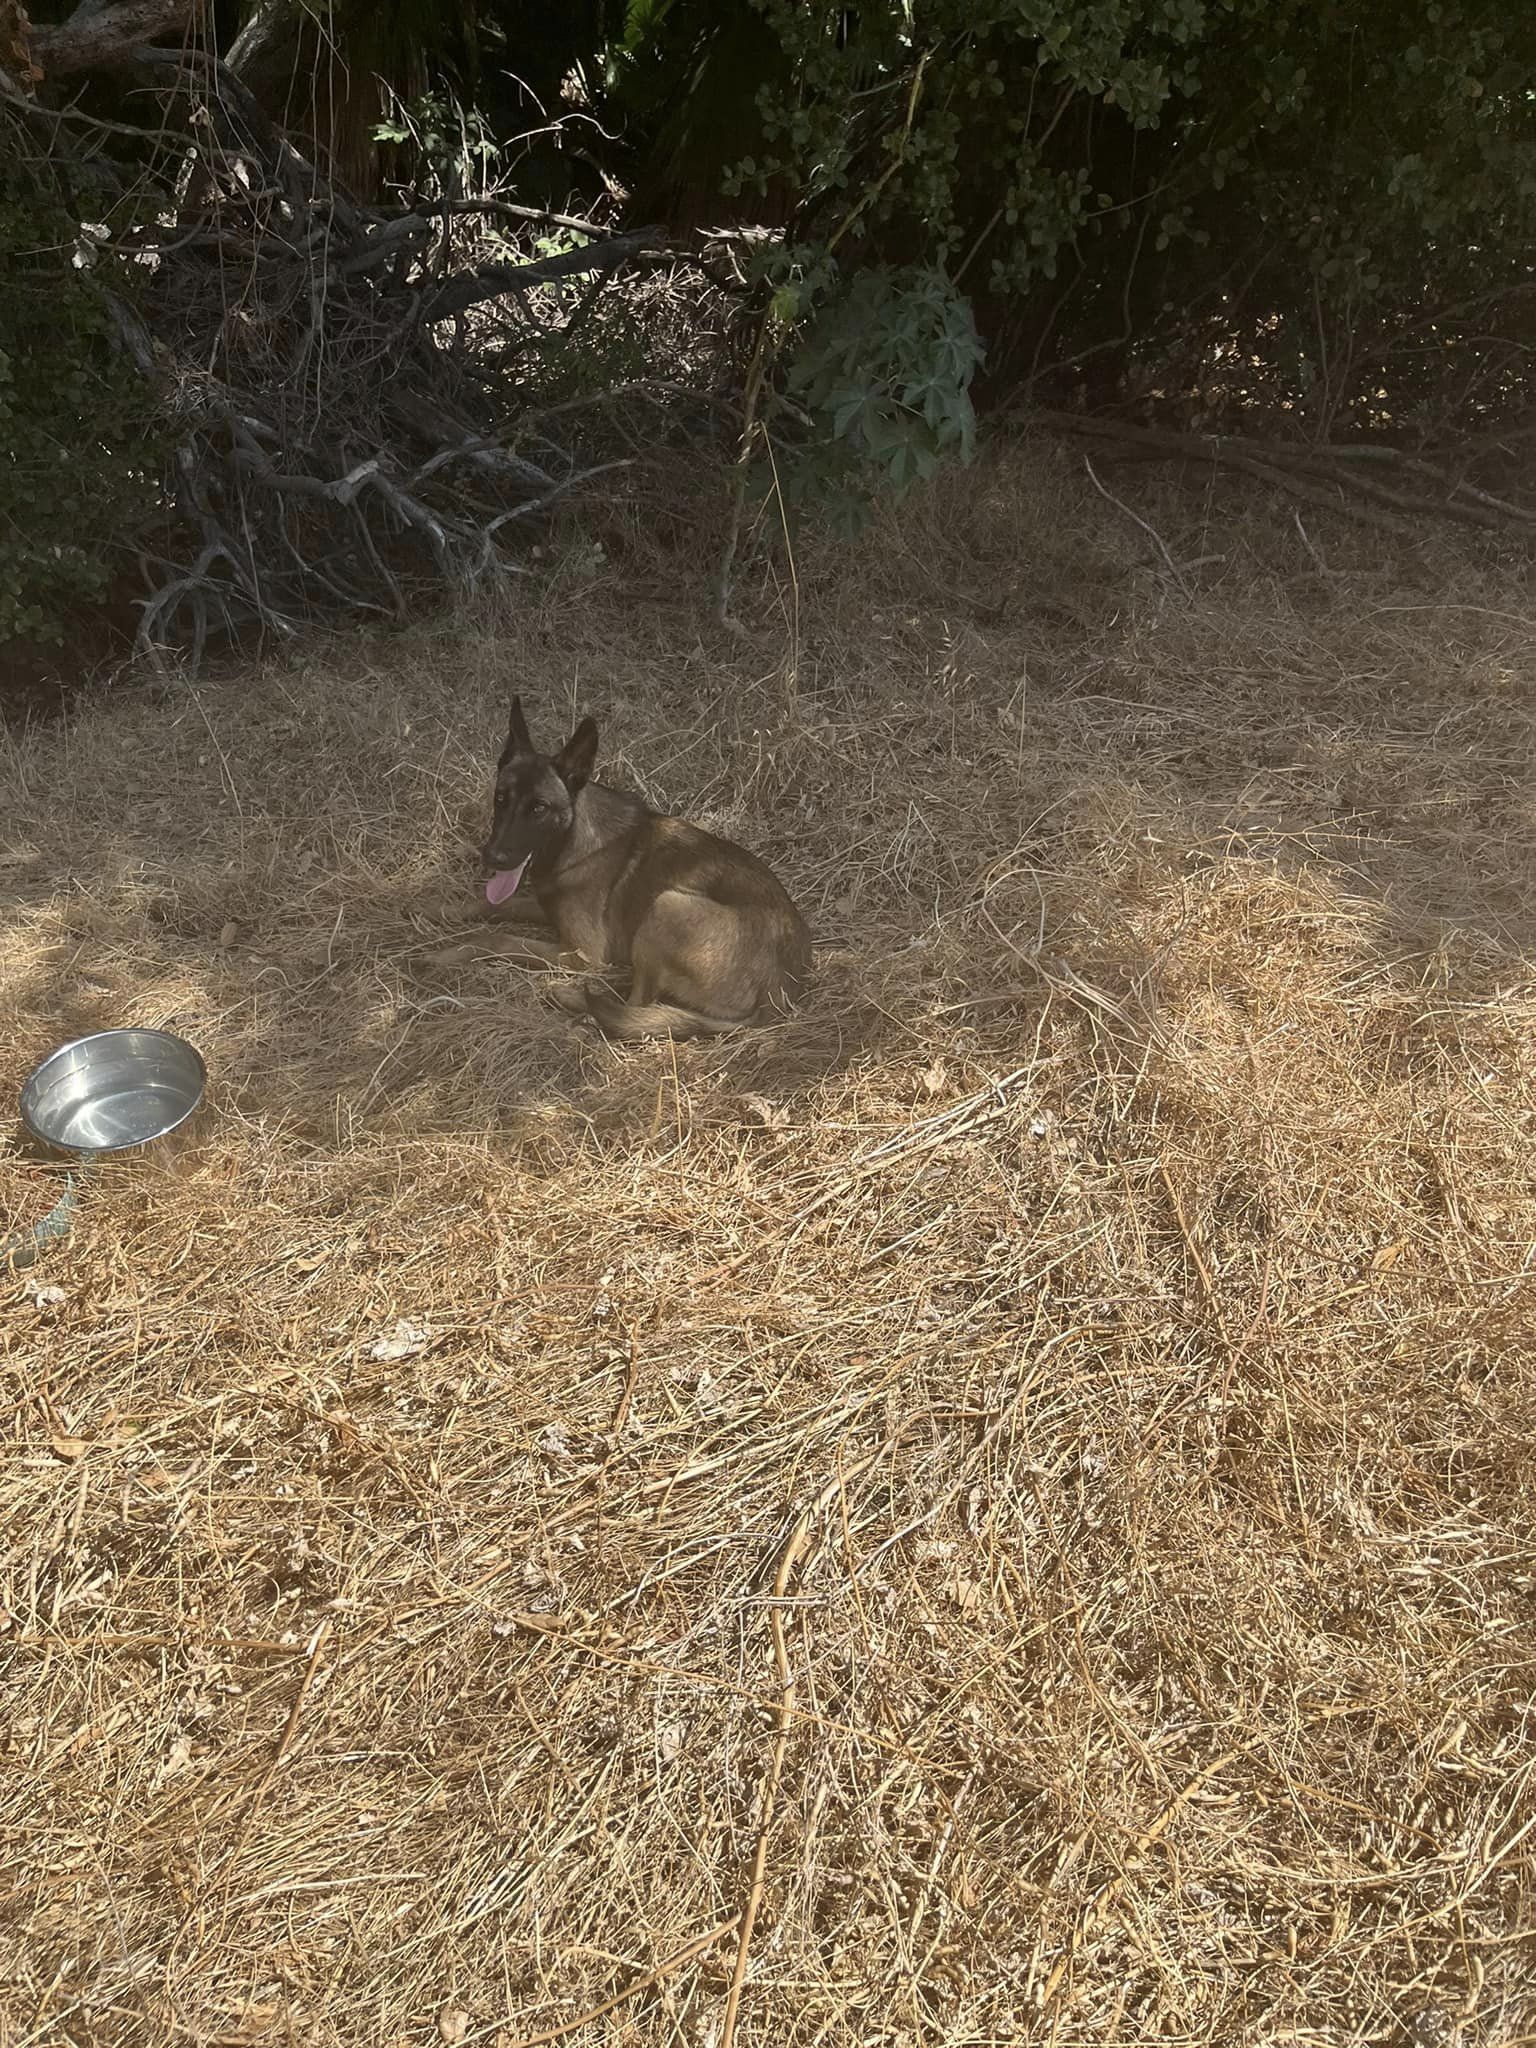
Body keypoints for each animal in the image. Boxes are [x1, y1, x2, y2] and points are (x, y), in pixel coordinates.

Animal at [428, 700, 811, 1040]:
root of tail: (778, 993)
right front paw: (441, 909)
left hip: (668, 905)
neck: (574, 838)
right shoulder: (544, 904)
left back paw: (577, 1003)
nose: (491, 856)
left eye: (538, 808)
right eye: (500, 798)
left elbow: (497, 938)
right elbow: (491, 903)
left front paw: (445, 954)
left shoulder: (582, 952)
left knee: (637, 1005)